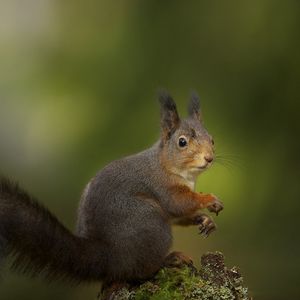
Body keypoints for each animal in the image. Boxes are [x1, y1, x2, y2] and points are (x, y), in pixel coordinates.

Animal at [0, 92, 223, 292]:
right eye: (182, 142)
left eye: (212, 140)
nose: (209, 158)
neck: (168, 165)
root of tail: (108, 256)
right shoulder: (162, 187)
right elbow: (179, 204)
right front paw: (209, 199)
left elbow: (179, 215)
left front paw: (204, 220)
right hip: (149, 221)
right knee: (142, 271)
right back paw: (170, 259)